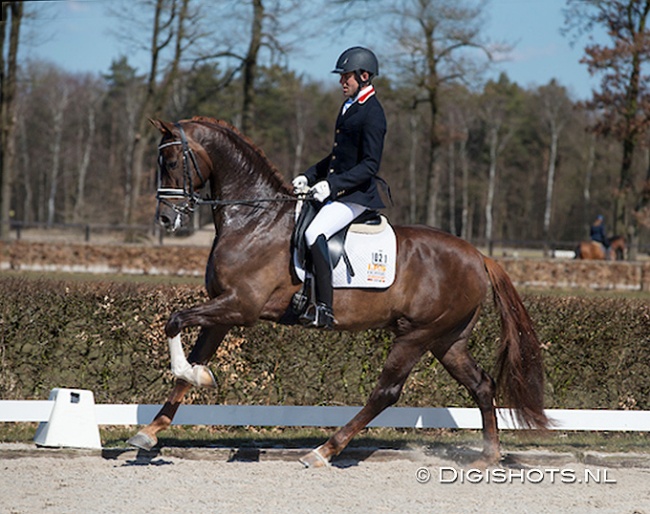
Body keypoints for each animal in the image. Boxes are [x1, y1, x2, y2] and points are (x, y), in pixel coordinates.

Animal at [128, 117, 548, 468]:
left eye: (172, 162)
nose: (165, 218)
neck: (254, 220)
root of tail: (478, 256)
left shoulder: (240, 307)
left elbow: (174, 322)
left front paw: (197, 378)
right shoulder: (223, 311)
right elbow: (189, 360)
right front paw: (150, 430)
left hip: (416, 335)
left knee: (386, 392)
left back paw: (324, 450)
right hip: (448, 340)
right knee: (481, 384)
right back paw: (489, 456)